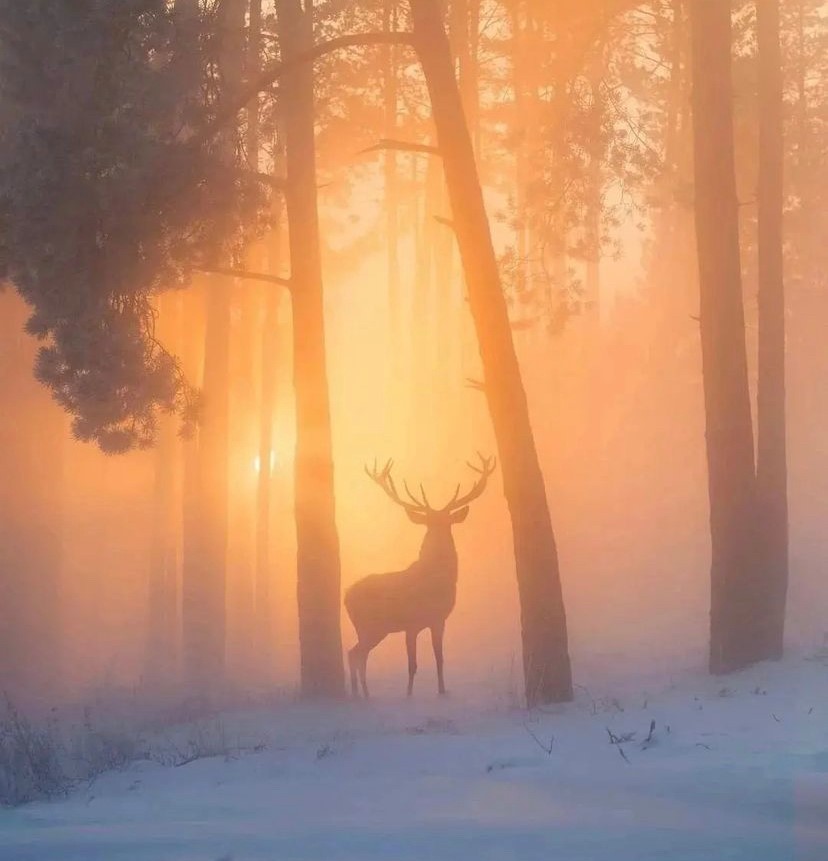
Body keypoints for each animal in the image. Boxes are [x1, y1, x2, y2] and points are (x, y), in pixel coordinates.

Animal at [344, 453, 496, 699]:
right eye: (430, 522)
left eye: (446, 522)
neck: (433, 583)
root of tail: (345, 595)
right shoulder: (412, 623)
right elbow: (412, 663)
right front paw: (408, 696)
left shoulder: (439, 620)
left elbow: (439, 658)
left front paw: (442, 691)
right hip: (371, 626)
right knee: (355, 654)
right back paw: (361, 694)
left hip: (374, 629)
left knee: (355, 653)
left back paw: (362, 694)